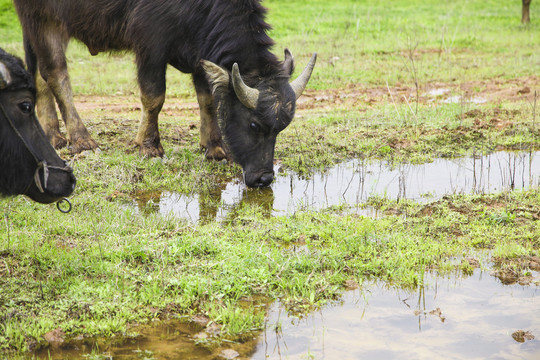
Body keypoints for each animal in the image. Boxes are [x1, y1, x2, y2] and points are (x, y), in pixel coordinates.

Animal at [13, 0, 316, 186]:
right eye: (254, 124)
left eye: (280, 128)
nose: (263, 179)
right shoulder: (150, 45)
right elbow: (154, 97)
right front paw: (148, 146)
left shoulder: (200, 53)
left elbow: (207, 100)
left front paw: (214, 146)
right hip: (43, 19)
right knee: (56, 74)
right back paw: (81, 139)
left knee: (39, 75)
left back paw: (53, 134)